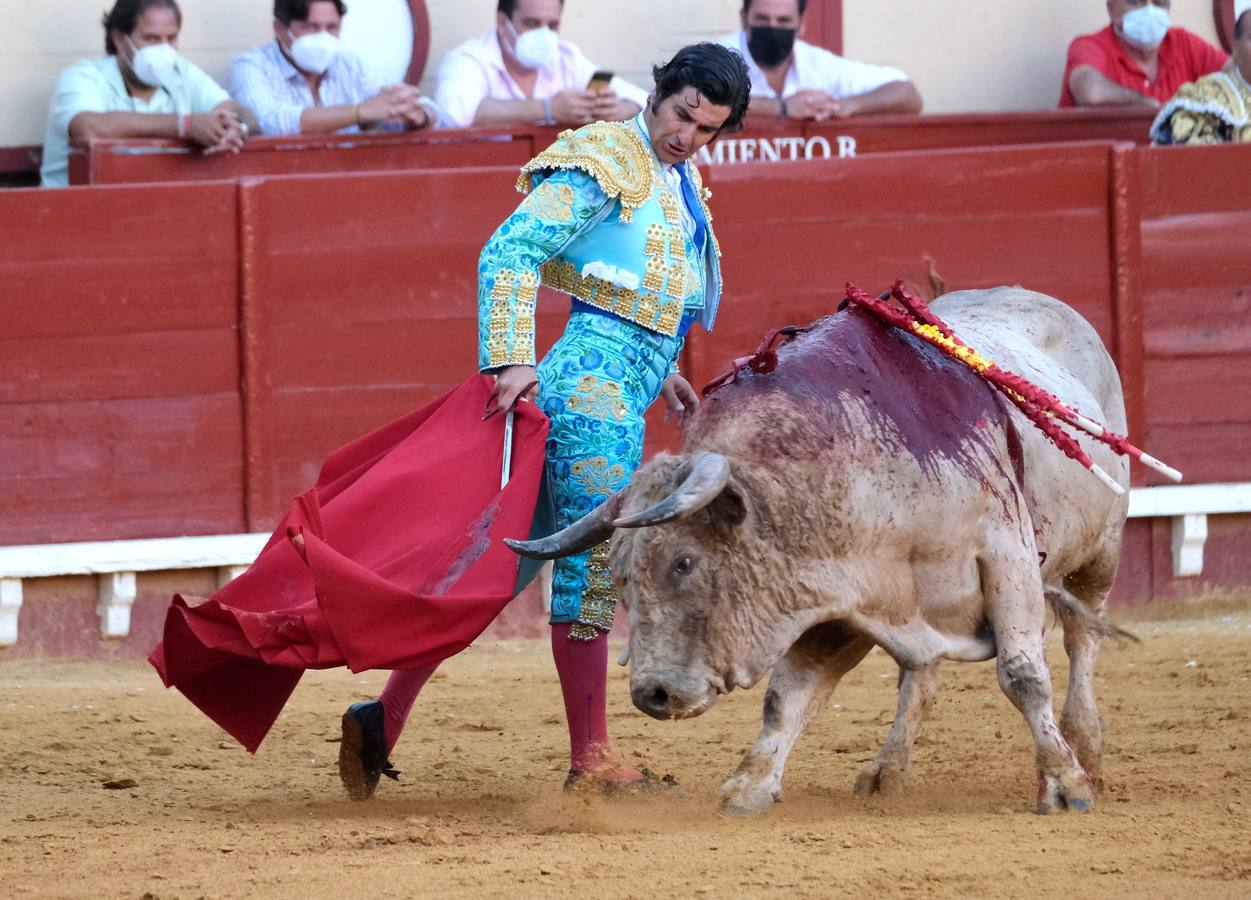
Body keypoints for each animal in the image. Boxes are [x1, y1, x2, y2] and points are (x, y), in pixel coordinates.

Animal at [507, 289, 1135, 816]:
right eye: (621, 576)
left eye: (684, 562)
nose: (652, 693)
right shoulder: (842, 595)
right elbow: (788, 695)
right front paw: (751, 785)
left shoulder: (1006, 555)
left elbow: (1023, 675)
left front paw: (1065, 783)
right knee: (921, 672)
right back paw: (887, 771)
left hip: (1101, 551)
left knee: (1082, 638)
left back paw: (1086, 748)